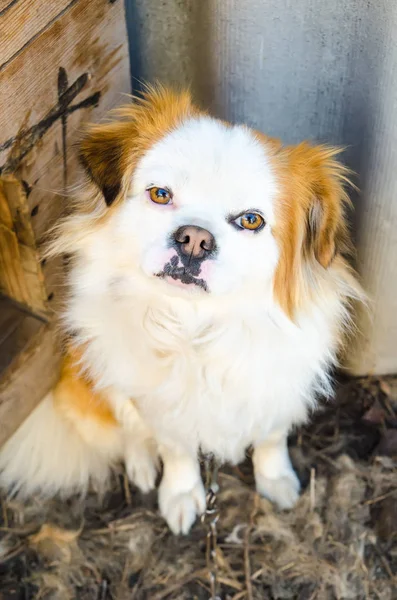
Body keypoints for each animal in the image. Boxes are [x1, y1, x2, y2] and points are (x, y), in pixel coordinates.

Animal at [0, 84, 362, 536]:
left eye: (250, 220)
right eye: (161, 195)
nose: (194, 239)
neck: (196, 326)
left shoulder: (275, 389)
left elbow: (271, 437)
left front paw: (276, 479)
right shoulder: (162, 407)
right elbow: (175, 449)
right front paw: (181, 493)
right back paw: (140, 466)